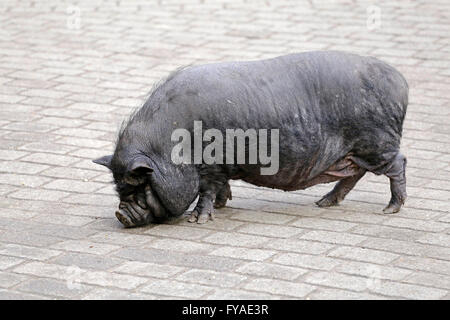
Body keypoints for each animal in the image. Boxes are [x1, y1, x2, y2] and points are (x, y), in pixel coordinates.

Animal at [94, 50, 408, 228]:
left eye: (140, 186)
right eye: (119, 189)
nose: (121, 214)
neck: (172, 148)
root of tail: (401, 81)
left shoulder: (212, 166)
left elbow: (207, 190)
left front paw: (199, 220)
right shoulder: (221, 169)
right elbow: (221, 188)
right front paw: (224, 205)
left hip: (377, 143)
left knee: (398, 163)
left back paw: (390, 209)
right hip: (354, 152)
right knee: (354, 175)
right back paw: (324, 203)